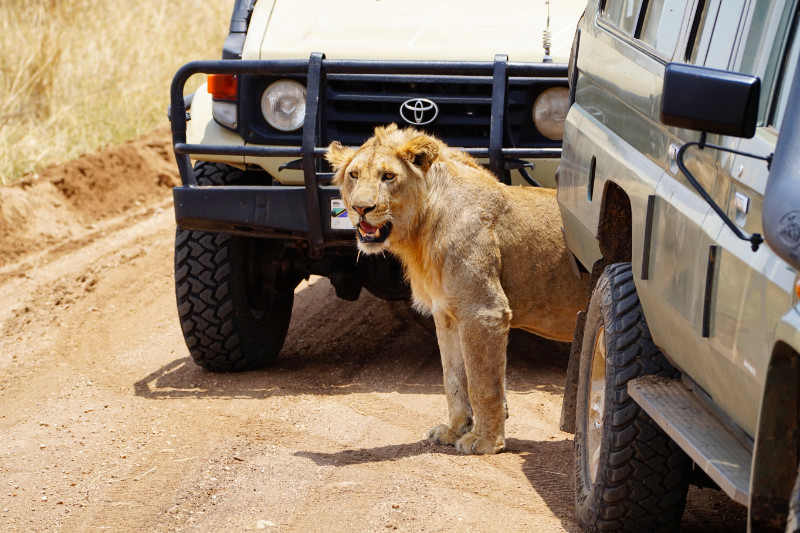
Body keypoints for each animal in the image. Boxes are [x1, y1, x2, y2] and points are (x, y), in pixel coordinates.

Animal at [326, 125, 589, 454]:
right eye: (354, 175)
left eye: (388, 176)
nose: (361, 208)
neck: (422, 227)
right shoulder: (446, 312)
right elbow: (452, 376)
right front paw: (454, 430)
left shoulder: (484, 311)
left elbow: (482, 381)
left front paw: (486, 440)